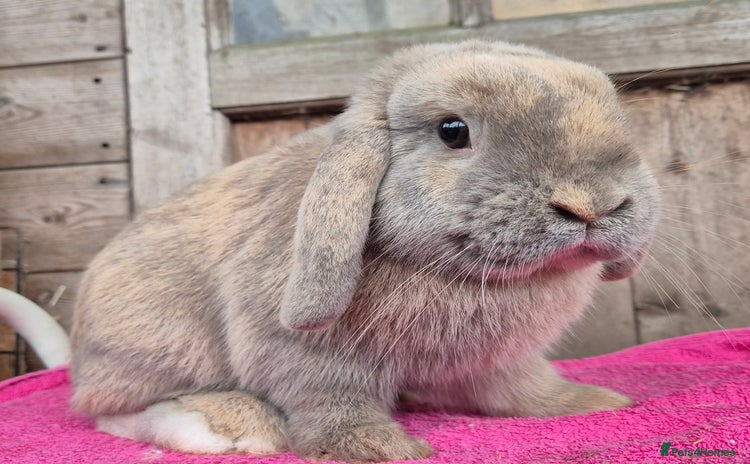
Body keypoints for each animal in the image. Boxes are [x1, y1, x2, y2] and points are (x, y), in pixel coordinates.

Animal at [70, 40, 659, 462]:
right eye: (452, 130)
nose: (593, 204)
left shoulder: (496, 361)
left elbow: (522, 390)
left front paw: (591, 403)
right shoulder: (306, 353)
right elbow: (332, 403)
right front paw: (383, 448)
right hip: (151, 348)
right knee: (110, 412)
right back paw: (233, 427)